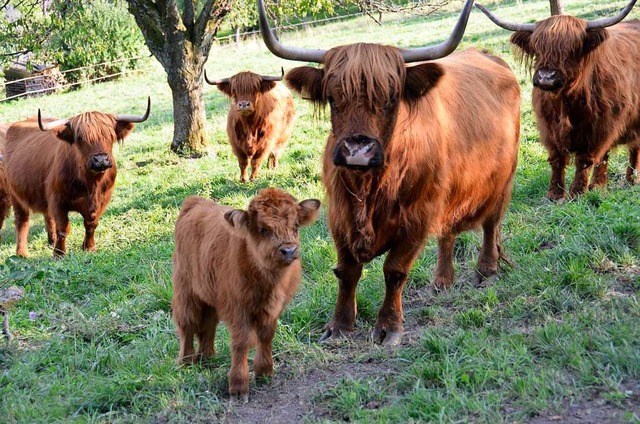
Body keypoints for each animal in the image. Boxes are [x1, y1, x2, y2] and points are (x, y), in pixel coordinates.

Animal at [2, 99, 150, 256]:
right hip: (15, 194)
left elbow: (91, 223)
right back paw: (21, 253)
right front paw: (59, 253)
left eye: (110, 135)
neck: (91, 184)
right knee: (22, 221)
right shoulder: (57, 200)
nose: (101, 160)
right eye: (80, 138)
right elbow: (63, 227)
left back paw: (50, 241)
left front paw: (89, 247)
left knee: (47, 215)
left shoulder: (102, 199)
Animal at [171, 188, 320, 400]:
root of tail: (195, 202)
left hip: (210, 295)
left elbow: (266, 336)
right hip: (185, 290)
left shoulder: (272, 309)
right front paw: (238, 385)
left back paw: (207, 357)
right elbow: (241, 343)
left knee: (208, 325)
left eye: (296, 226)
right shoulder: (237, 309)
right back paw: (186, 361)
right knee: (187, 324)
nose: (289, 250)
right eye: (263, 230)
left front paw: (264, 372)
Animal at [258, 0, 520, 344]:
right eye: (332, 97)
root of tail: (488, 55)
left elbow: (394, 270)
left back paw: (486, 271)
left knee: (491, 223)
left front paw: (388, 328)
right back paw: (442, 280)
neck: (369, 189)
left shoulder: (418, 216)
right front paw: (339, 325)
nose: (357, 150)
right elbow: (347, 271)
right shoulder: (339, 216)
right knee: (448, 232)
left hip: (502, 180)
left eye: (391, 97)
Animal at [478, 0, 640, 199]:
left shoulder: (601, 126)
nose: (546, 77)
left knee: (633, 147)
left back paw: (631, 179)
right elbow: (557, 159)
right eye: (537, 48)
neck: (565, 101)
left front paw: (577, 192)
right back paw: (600, 186)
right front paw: (554, 194)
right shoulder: (548, 126)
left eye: (572, 49)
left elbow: (585, 159)